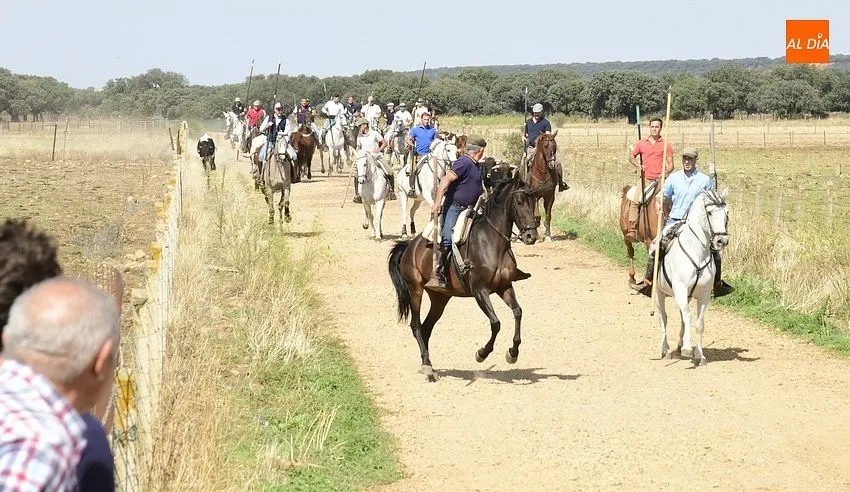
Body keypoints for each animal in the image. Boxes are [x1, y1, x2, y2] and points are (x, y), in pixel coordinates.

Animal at [387, 171, 540, 382]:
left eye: (533, 201)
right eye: (518, 201)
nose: (531, 236)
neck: (494, 242)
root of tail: (409, 246)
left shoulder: (504, 286)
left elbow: (518, 312)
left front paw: (513, 353)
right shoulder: (479, 291)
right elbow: (496, 323)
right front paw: (482, 353)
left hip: (440, 298)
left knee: (426, 327)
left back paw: (429, 363)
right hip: (415, 290)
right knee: (416, 325)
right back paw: (427, 367)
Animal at [653, 189, 729, 367]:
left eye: (727, 213)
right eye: (710, 212)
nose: (721, 240)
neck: (697, 253)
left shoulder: (704, 295)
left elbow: (699, 323)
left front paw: (699, 355)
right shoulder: (680, 289)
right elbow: (688, 316)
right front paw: (688, 349)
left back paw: (679, 345)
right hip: (660, 293)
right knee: (663, 317)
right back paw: (665, 350)